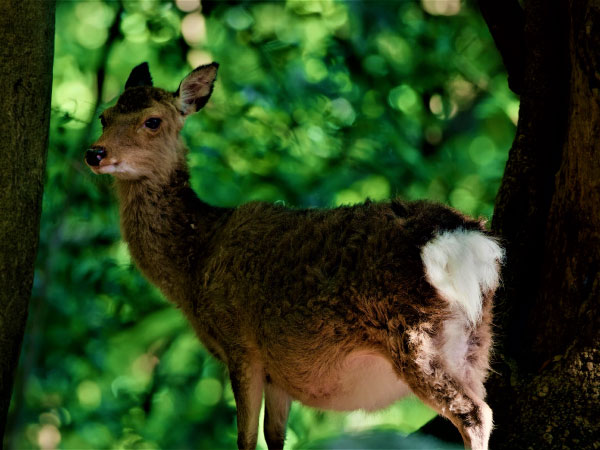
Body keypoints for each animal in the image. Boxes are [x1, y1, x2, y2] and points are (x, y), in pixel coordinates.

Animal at [84, 60, 504, 450]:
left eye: (152, 121)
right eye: (105, 115)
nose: (95, 153)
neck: (196, 261)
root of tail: (464, 239)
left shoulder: (241, 345)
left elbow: (245, 438)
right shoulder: (278, 371)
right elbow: (275, 437)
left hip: (416, 337)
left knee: (474, 413)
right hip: (475, 344)